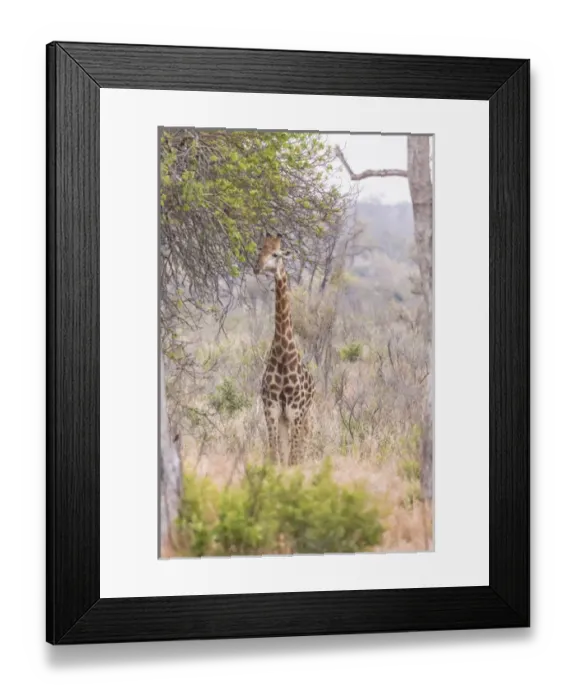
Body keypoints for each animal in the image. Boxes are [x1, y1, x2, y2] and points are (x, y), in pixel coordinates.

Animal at [254, 234, 315, 466]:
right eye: (260, 250)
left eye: (275, 254)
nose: (257, 267)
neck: (282, 355)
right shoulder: (271, 410)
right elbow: (275, 456)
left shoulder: (295, 412)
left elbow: (293, 459)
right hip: (284, 420)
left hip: (303, 416)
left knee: (302, 448)